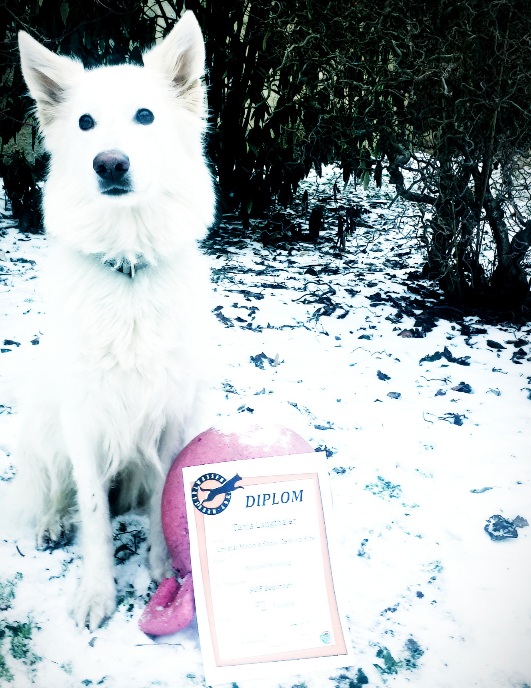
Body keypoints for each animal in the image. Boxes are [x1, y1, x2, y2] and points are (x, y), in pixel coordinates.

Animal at [16, 11, 215, 631]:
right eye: (85, 122)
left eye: (145, 115)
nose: (109, 164)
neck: (128, 266)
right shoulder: (83, 421)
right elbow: (96, 520)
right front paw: (97, 593)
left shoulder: (170, 421)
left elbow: (158, 507)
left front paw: (160, 569)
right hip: (45, 427)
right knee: (54, 491)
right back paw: (53, 522)